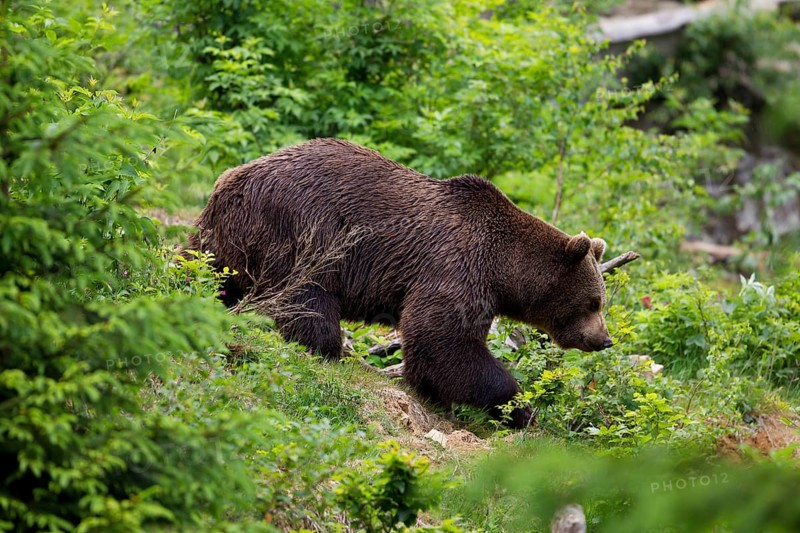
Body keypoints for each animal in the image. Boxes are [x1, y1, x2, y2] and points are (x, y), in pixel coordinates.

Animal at [190, 138, 613, 428]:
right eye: (594, 301)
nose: (604, 339)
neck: (503, 269)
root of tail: (233, 176)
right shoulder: (455, 267)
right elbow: (443, 337)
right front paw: (519, 407)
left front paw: (435, 392)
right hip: (302, 230)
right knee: (306, 295)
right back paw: (327, 347)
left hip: (223, 237)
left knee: (207, 267)